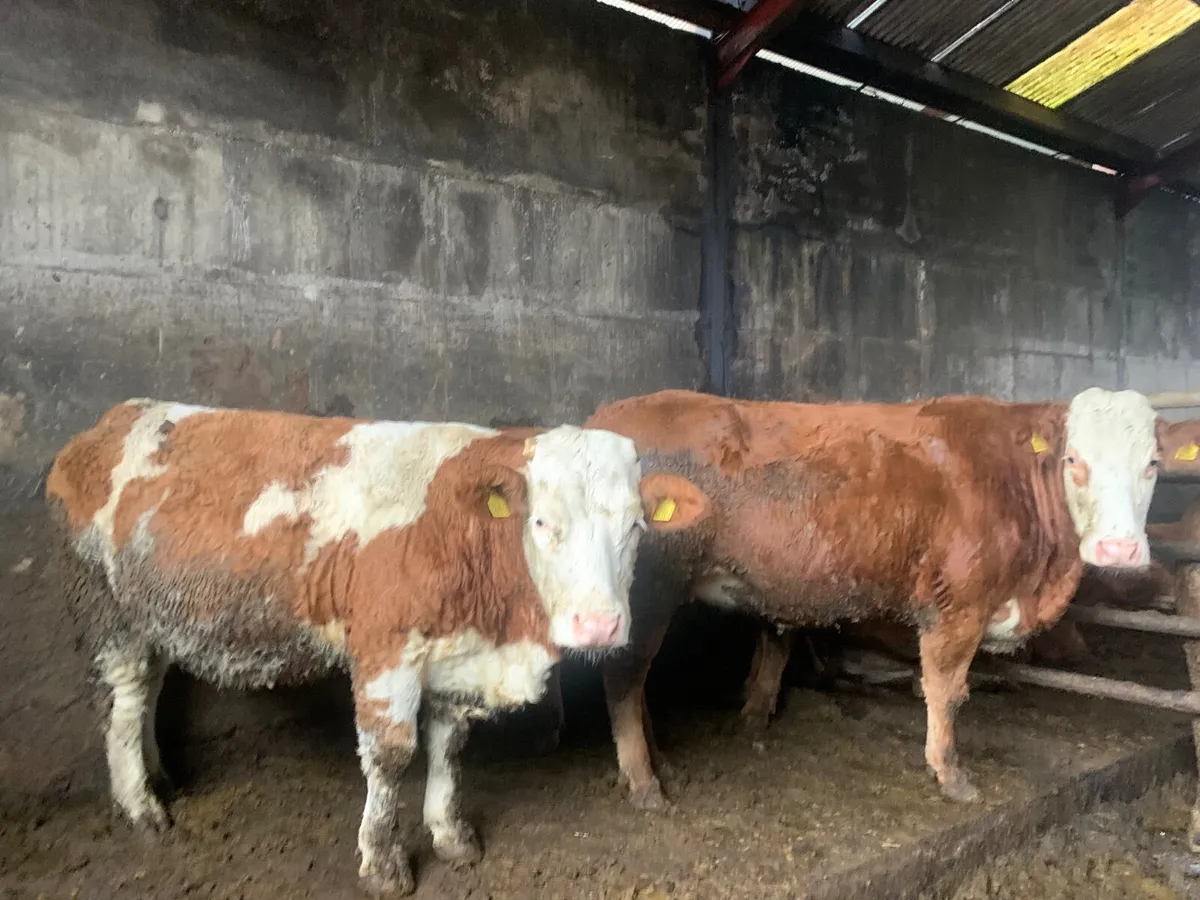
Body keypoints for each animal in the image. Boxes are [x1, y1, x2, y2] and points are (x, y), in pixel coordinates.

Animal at [46, 399, 706, 897]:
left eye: (636, 526)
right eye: (541, 523)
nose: (598, 625)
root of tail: (118, 415)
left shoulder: (454, 654)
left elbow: (449, 743)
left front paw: (451, 835)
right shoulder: (385, 647)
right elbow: (391, 755)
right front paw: (384, 864)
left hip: (150, 615)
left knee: (147, 691)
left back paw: (159, 779)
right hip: (106, 607)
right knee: (123, 700)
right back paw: (140, 806)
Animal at [578, 387, 1161, 810]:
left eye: (1152, 463)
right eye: (1072, 459)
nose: (1119, 547)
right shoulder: (958, 606)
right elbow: (946, 691)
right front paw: (950, 775)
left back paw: (660, 763)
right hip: (649, 590)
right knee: (625, 679)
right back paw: (644, 782)